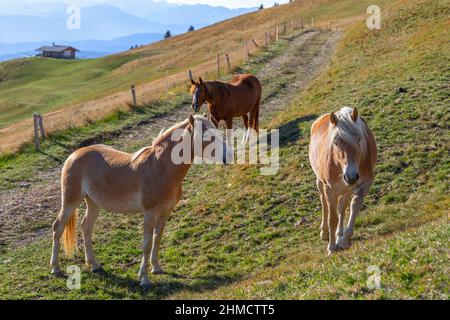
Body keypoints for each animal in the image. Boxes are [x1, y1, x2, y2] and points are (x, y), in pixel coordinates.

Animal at [49, 114, 232, 288]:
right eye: (206, 136)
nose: (229, 156)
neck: (161, 168)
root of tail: (73, 155)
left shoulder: (165, 213)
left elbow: (157, 239)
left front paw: (156, 268)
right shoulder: (150, 214)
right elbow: (147, 244)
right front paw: (144, 278)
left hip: (93, 203)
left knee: (86, 227)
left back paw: (94, 265)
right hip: (71, 202)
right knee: (58, 228)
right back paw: (56, 268)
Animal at [310, 107, 376, 255]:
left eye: (358, 138)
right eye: (335, 142)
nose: (351, 176)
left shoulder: (365, 183)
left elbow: (354, 206)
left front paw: (343, 239)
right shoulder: (330, 189)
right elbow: (332, 218)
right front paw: (331, 247)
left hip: (346, 188)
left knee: (342, 206)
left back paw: (339, 233)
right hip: (320, 182)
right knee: (324, 203)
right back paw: (325, 232)